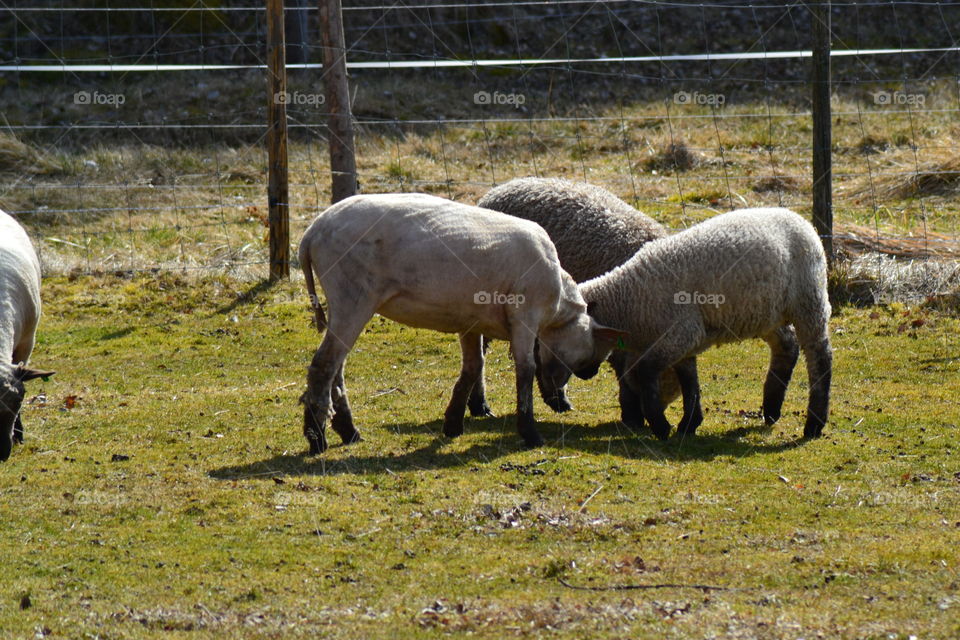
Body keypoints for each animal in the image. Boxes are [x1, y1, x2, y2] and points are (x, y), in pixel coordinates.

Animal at [297, 193, 624, 453]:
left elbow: (473, 367)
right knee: (323, 366)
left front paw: (453, 424)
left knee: (336, 369)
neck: (556, 308)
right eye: (589, 351)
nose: (589, 374)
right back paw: (317, 439)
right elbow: (525, 370)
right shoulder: (525, 316)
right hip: (352, 297)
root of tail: (313, 231)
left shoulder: (471, 322)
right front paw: (530, 434)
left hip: (345, 303)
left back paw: (348, 432)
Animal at [537, 207, 831, 440]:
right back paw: (771, 409)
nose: (585, 375)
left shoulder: (680, 331)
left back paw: (814, 424)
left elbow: (646, 371)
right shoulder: (684, 337)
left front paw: (661, 426)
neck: (629, 299)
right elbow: (689, 379)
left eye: (559, 345)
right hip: (765, 312)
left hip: (809, 300)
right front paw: (688, 424)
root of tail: (801, 220)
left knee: (819, 356)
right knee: (787, 346)